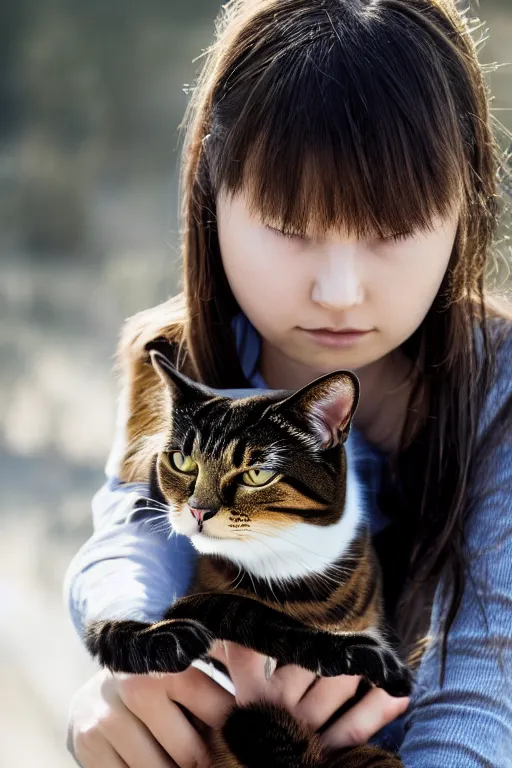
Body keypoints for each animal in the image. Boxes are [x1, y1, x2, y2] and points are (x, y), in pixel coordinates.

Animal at [84, 352, 412, 764]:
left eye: (256, 474)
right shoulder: (196, 601)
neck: (283, 564)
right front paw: (351, 651)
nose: (197, 510)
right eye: (182, 461)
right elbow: (241, 610)